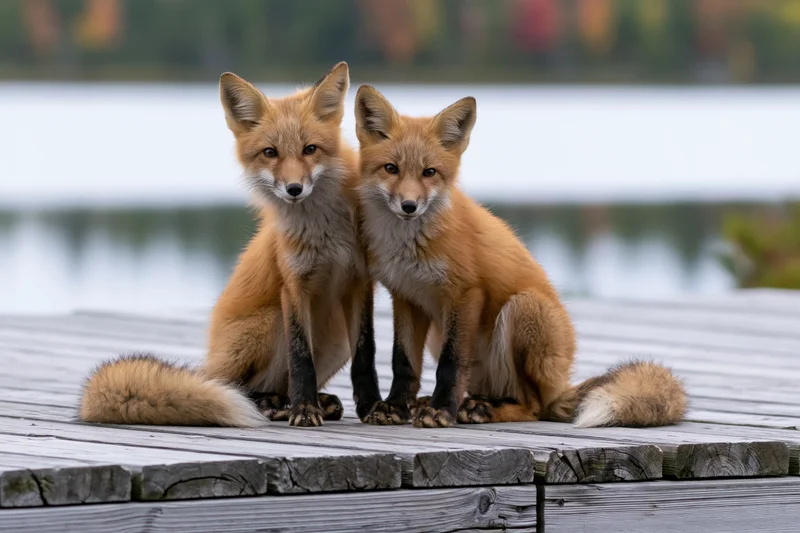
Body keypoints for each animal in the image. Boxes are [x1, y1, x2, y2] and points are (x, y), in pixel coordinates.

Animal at [78, 63, 381, 428]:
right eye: (270, 153)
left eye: (310, 149)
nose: (294, 189)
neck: (324, 233)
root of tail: (209, 366)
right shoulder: (293, 285)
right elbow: (300, 358)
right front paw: (304, 410)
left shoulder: (359, 282)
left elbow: (366, 354)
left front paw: (374, 407)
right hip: (268, 324)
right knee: (240, 387)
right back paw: (276, 404)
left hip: (335, 339)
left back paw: (309, 402)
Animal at [353, 85, 687, 428]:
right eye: (391, 168)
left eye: (429, 173)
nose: (409, 206)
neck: (410, 245)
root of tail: (560, 386)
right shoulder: (407, 297)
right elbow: (403, 362)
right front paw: (396, 406)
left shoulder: (466, 292)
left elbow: (451, 364)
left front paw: (440, 410)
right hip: (446, 339)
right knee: (493, 393)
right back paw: (456, 403)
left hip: (522, 308)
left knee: (533, 406)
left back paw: (481, 409)